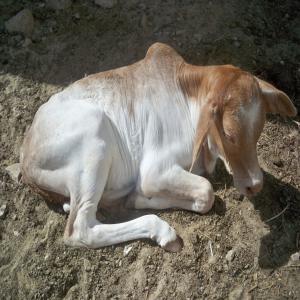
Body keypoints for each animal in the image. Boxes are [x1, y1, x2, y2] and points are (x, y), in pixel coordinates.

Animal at [19, 43, 296, 252]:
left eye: (259, 127)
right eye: (228, 133)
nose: (255, 184)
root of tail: (25, 158)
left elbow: (202, 196)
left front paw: (138, 198)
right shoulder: (154, 170)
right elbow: (206, 191)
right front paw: (142, 197)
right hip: (93, 138)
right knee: (80, 229)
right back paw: (163, 231)